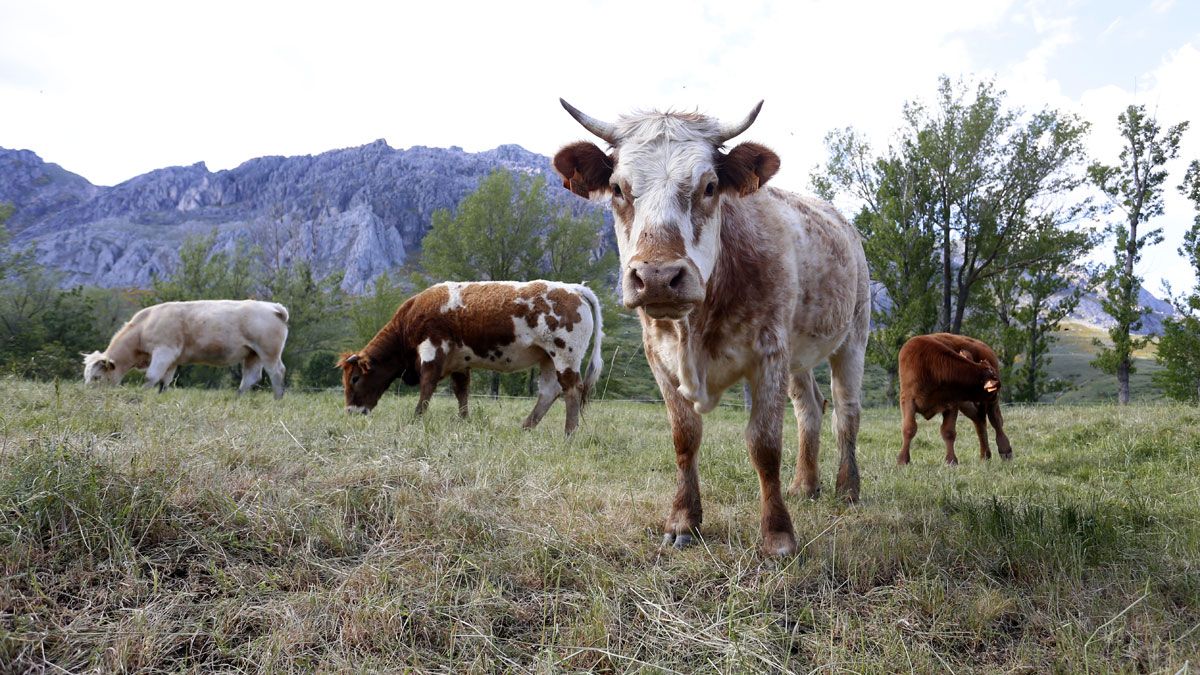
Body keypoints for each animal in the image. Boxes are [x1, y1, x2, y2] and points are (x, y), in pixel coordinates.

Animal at [82, 299, 290, 398]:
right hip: (253, 354)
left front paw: (140, 394)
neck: (143, 326)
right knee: (250, 378)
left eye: (97, 377)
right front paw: (160, 397)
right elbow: (165, 381)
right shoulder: (172, 359)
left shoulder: (164, 351)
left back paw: (277, 399)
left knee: (277, 372)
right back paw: (236, 398)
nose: (86, 395)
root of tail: (272, 306)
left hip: (269, 352)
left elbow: (151, 377)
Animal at [338, 280, 604, 435]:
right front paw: (464, 421)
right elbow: (461, 391)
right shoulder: (459, 362)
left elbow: (427, 387)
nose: (350, 411)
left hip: (565, 355)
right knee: (549, 391)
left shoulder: (433, 349)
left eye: (355, 379)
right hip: (547, 358)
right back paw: (525, 428)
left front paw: (416, 419)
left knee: (572, 389)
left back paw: (569, 434)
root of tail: (573, 288)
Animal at [553, 99, 870, 556]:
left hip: (853, 336)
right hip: (799, 352)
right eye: (617, 188)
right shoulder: (659, 358)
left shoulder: (769, 353)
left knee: (846, 411)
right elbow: (684, 437)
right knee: (810, 408)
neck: (695, 328)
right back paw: (804, 485)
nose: (657, 276)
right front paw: (684, 520)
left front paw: (777, 535)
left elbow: (763, 444)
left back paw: (847, 489)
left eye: (709, 186)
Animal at [897, 333, 1013, 465]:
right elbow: (909, 428)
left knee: (996, 422)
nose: (995, 395)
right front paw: (903, 460)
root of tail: (985, 347)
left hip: (985, 405)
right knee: (980, 421)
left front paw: (951, 461)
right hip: (970, 404)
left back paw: (1005, 451)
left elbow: (948, 432)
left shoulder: (952, 403)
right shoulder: (908, 400)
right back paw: (985, 456)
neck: (930, 365)